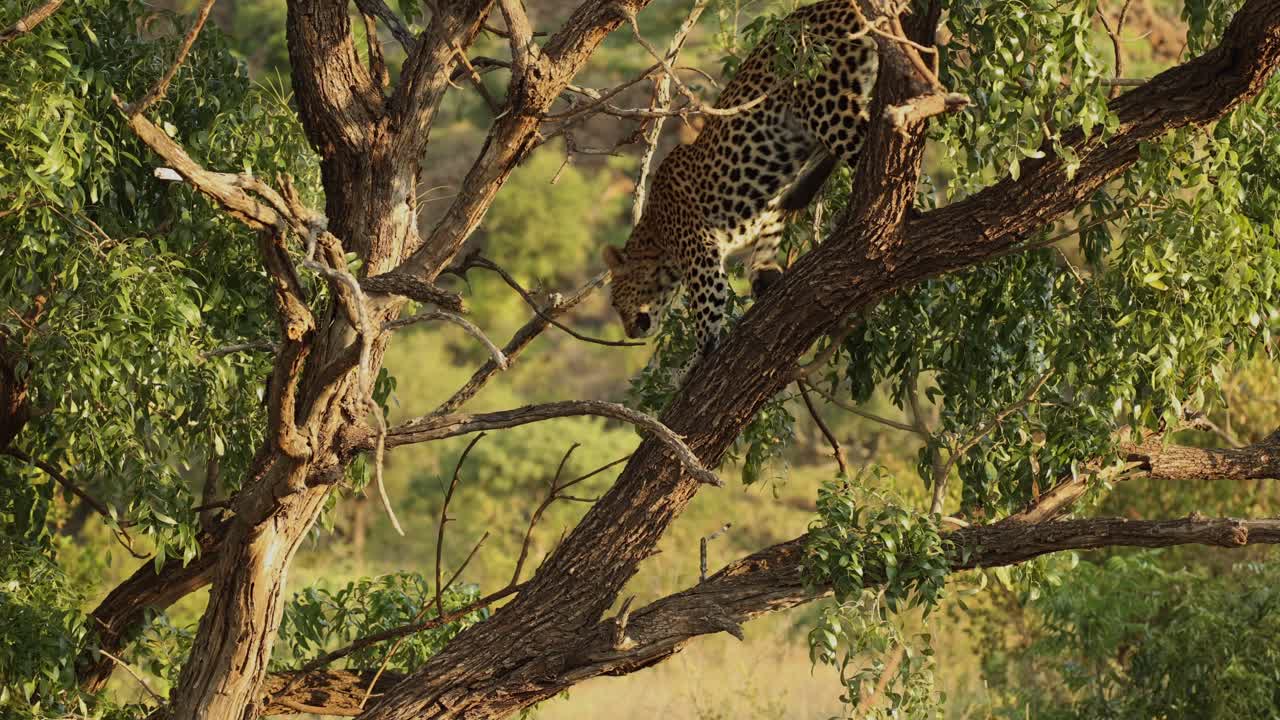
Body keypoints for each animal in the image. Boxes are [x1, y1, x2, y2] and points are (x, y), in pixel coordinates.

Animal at [604, 0, 879, 359]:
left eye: (615, 301)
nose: (628, 331)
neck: (656, 238)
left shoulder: (700, 253)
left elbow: (708, 311)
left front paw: (695, 359)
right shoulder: (764, 204)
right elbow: (772, 223)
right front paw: (763, 271)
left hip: (826, 104)